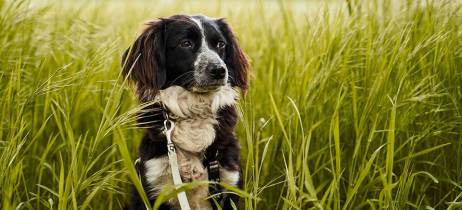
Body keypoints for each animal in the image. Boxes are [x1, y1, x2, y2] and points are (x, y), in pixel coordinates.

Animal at [121, 14, 247, 210]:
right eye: (185, 43)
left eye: (220, 44)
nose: (219, 70)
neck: (194, 112)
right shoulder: (154, 184)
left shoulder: (229, 183)